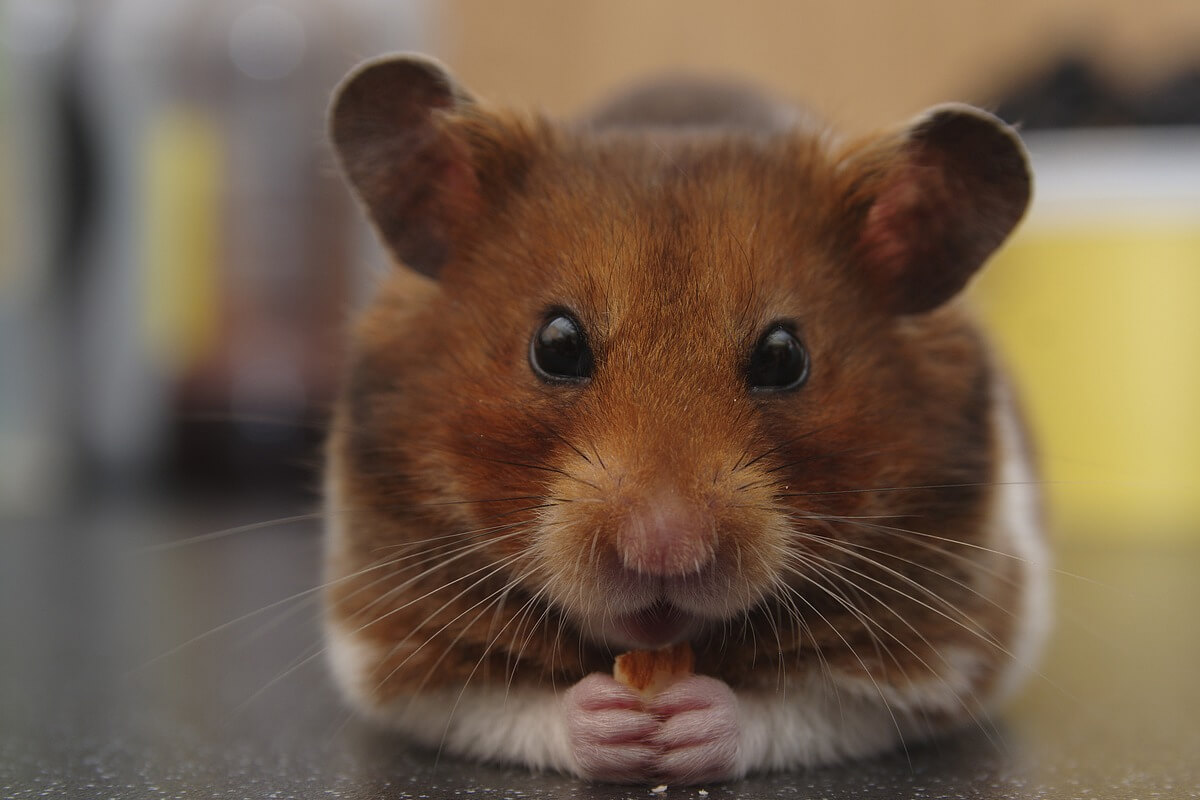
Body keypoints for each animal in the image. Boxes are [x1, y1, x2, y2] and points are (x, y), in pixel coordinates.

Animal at [322, 53, 1051, 785]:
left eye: (784, 357)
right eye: (555, 345)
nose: (663, 549)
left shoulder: (946, 653)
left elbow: (800, 707)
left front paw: (686, 722)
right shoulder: (388, 645)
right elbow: (506, 705)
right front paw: (614, 722)